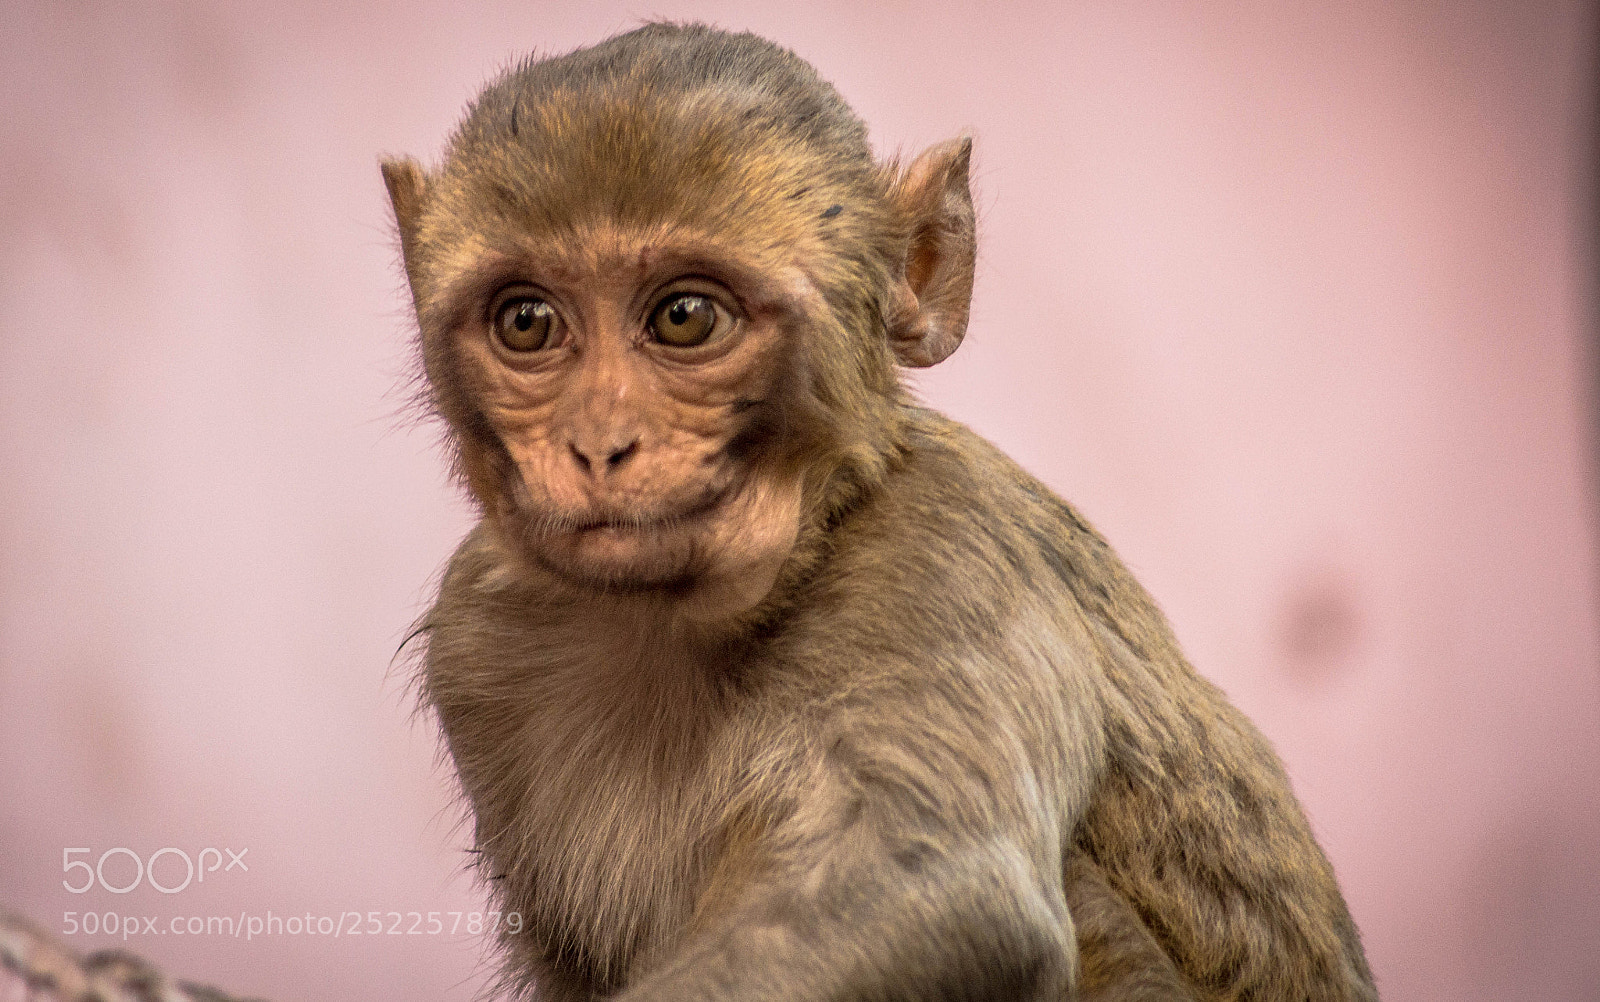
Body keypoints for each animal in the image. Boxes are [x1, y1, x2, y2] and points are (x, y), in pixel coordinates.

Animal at [377, 22, 1380, 1002]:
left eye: (685, 317)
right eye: (527, 323)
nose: (598, 444)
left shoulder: (939, 550)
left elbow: (937, 889)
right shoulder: (475, 638)